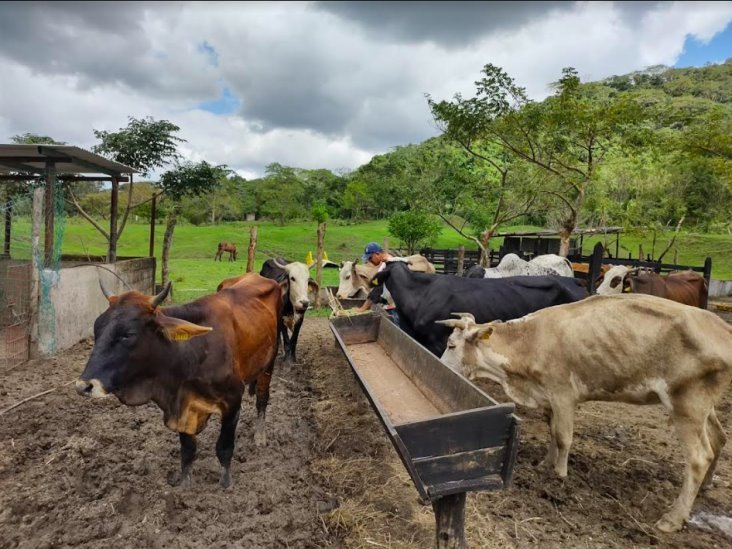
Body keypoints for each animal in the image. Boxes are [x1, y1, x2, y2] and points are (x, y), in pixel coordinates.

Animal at [74, 276, 280, 486]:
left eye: (128, 334)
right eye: (96, 328)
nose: (84, 386)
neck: (191, 353)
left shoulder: (233, 402)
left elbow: (224, 448)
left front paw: (225, 485)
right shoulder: (183, 406)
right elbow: (188, 451)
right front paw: (184, 485)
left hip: (269, 363)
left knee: (262, 399)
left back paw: (260, 436)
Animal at [438, 296, 732, 532]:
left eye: (451, 345)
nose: (440, 365)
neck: (531, 341)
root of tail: (720, 327)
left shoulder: (563, 393)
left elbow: (563, 436)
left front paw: (559, 475)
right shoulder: (549, 396)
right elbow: (552, 431)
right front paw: (544, 464)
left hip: (687, 405)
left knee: (699, 457)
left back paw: (672, 518)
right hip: (704, 406)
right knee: (719, 438)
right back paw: (706, 487)